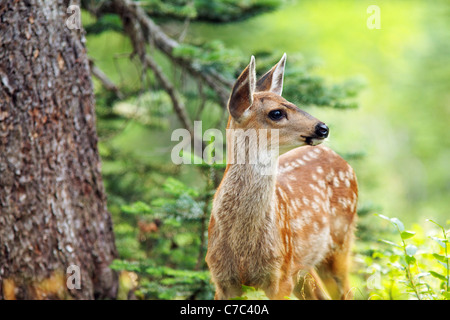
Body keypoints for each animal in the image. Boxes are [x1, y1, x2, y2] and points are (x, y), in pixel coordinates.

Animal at [205, 55, 358, 300]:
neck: (242, 248)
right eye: (276, 112)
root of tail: (340, 158)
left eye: (291, 101)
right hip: (304, 264)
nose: (323, 128)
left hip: (339, 243)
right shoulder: (222, 280)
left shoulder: (280, 275)